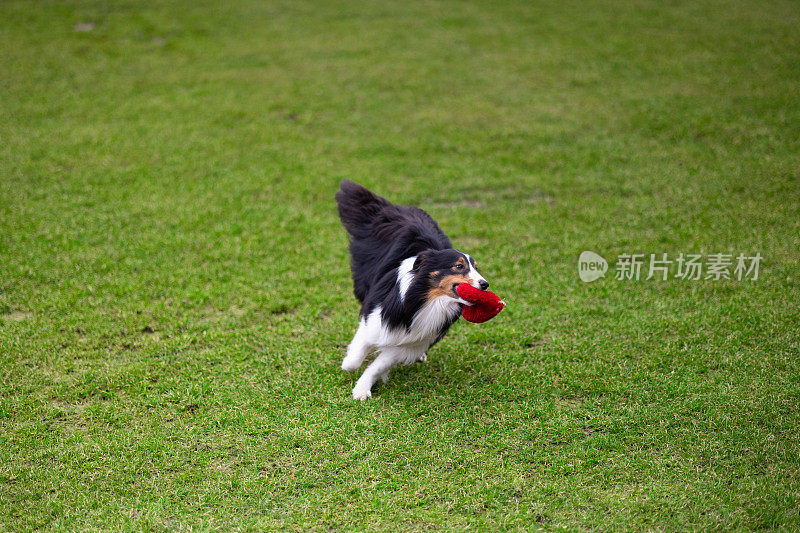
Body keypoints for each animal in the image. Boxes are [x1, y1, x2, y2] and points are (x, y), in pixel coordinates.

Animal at [332, 180, 488, 400]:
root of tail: (394, 207)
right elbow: (360, 347)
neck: (427, 299)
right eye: (459, 266)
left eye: (475, 267)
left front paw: (362, 388)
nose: (485, 284)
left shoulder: (413, 339)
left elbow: (379, 365)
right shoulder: (376, 313)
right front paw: (348, 363)